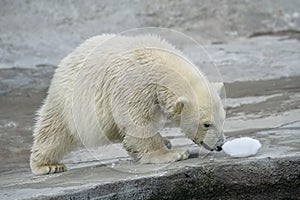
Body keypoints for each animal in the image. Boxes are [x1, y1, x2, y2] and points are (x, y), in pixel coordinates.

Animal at [29, 34, 225, 175]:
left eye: (222, 120)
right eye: (206, 124)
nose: (219, 145)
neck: (158, 62)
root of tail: (67, 59)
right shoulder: (136, 84)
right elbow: (138, 121)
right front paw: (173, 154)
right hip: (68, 99)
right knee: (55, 130)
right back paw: (48, 165)